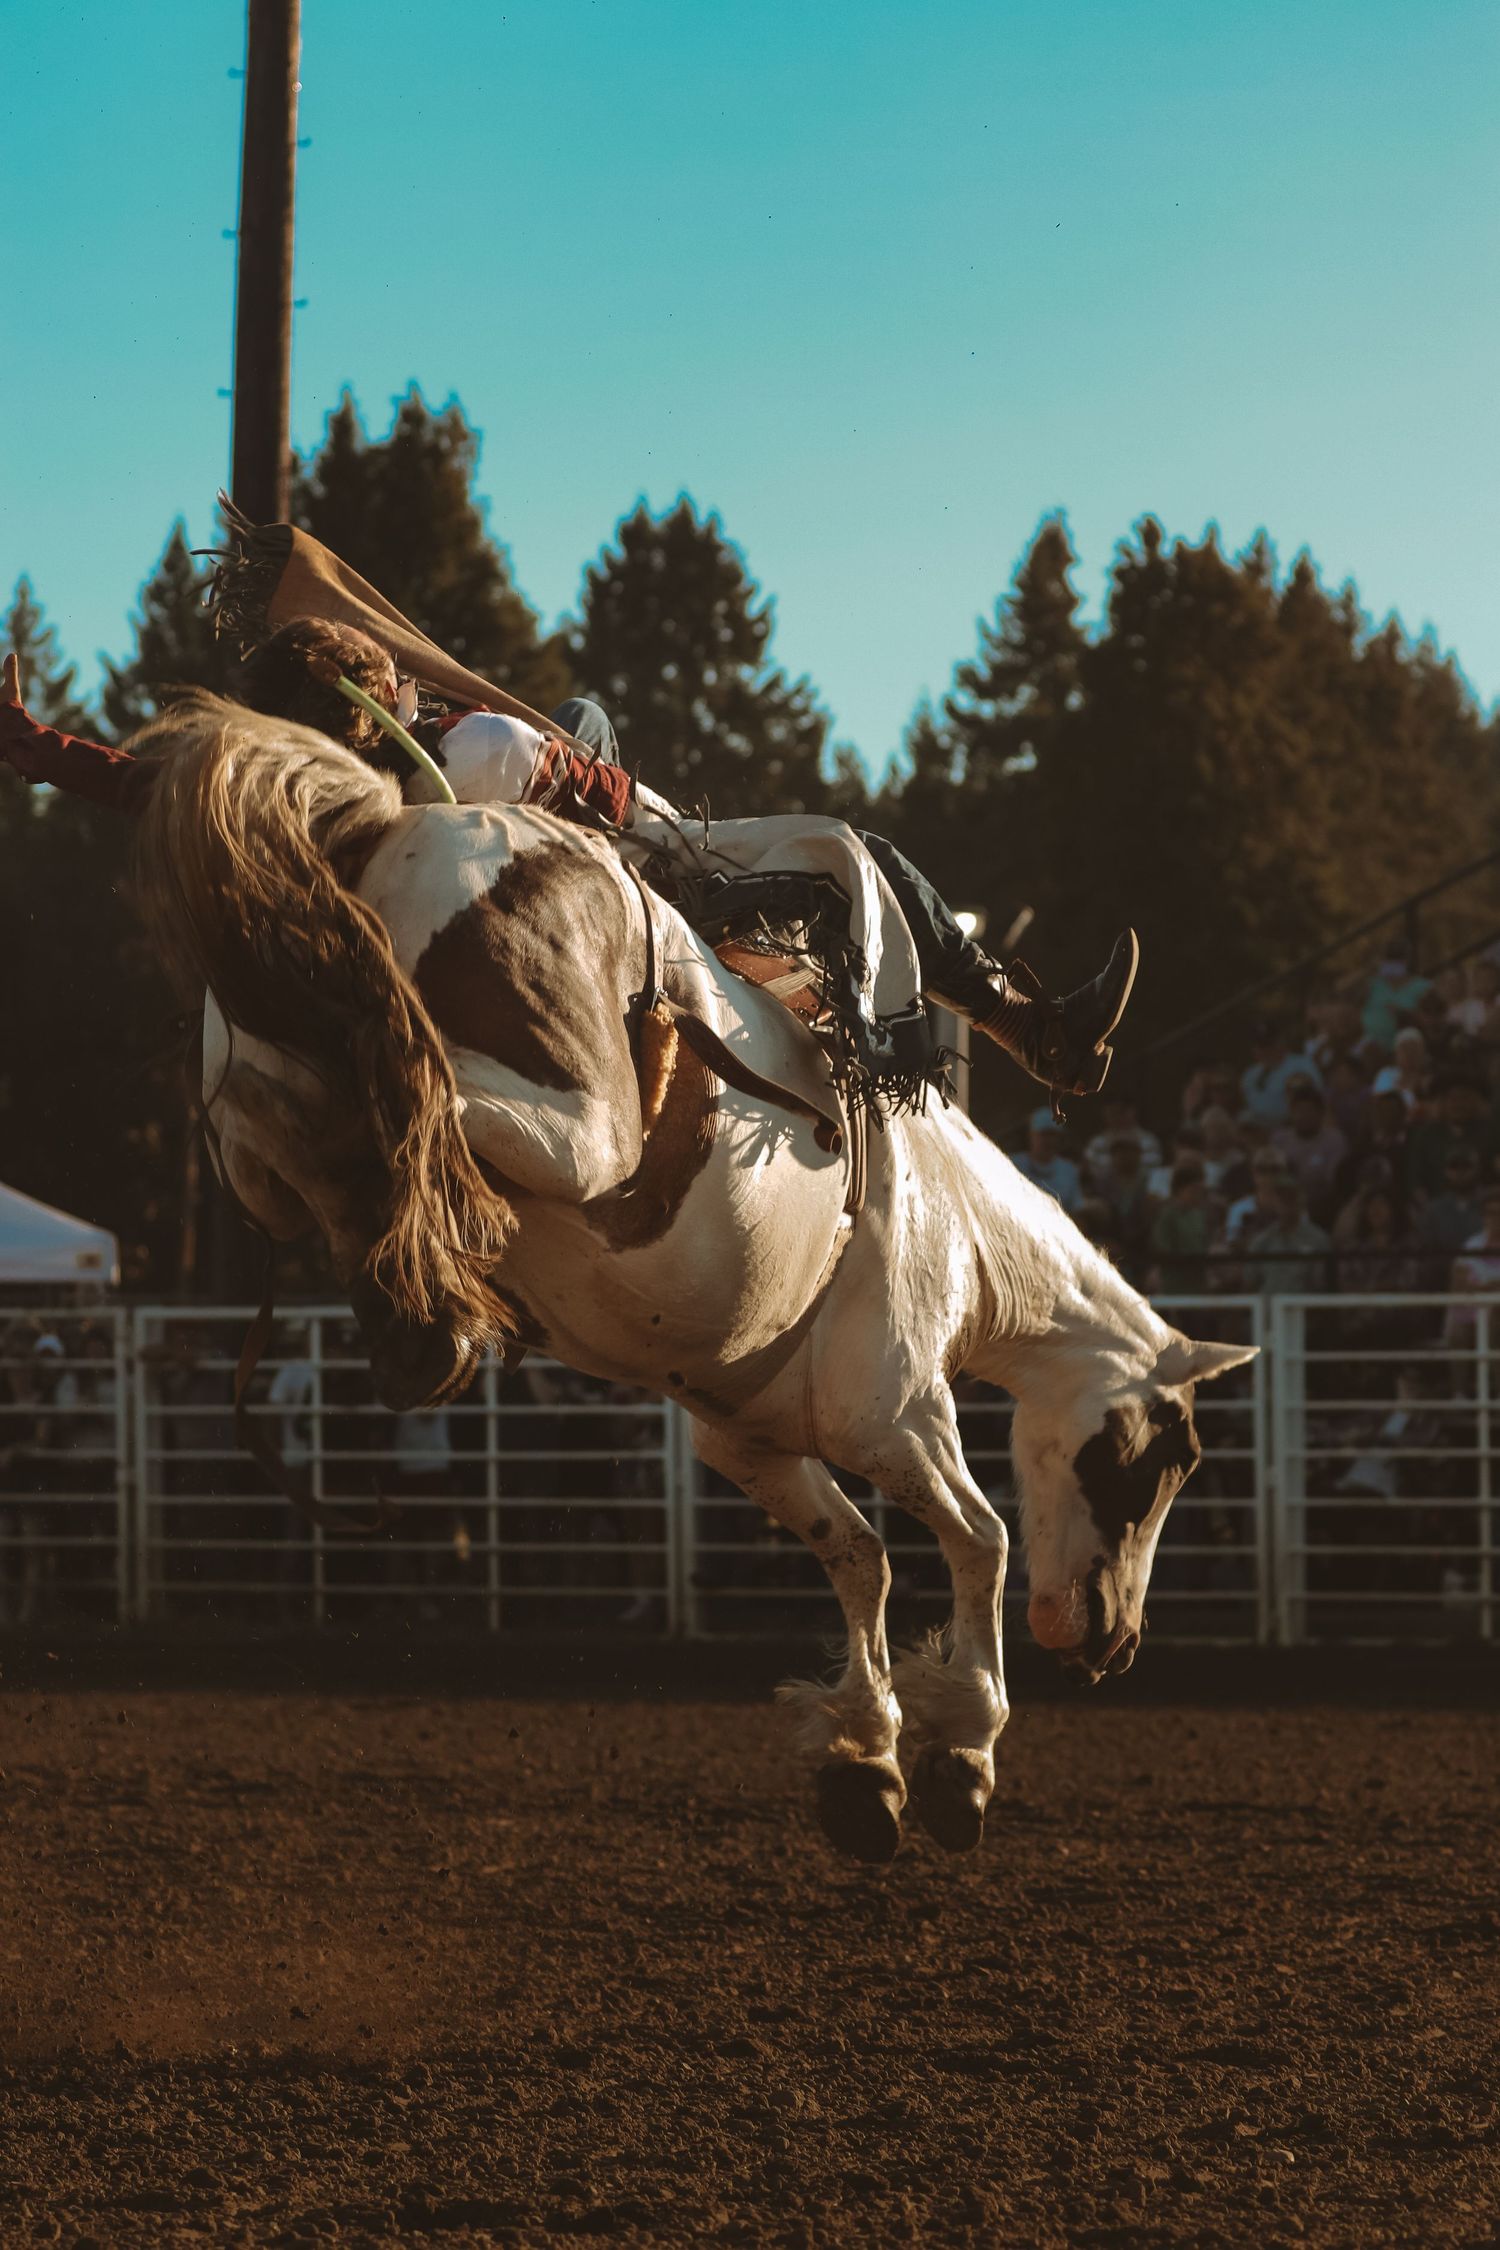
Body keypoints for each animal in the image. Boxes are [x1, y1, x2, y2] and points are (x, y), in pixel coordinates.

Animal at [131, 697, 1255, 1862]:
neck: (957, 1224)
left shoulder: (748, 1439)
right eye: (1168, 1460)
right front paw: (961, 1758)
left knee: (297, 1141)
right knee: (414, 1101)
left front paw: (865, 1763)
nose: (1114, 1646)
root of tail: (392, 823)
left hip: (259, 1102)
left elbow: (860, 1557)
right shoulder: (895, 1413)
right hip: (572, 1123)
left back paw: (423, 1321)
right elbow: (978, 1541)